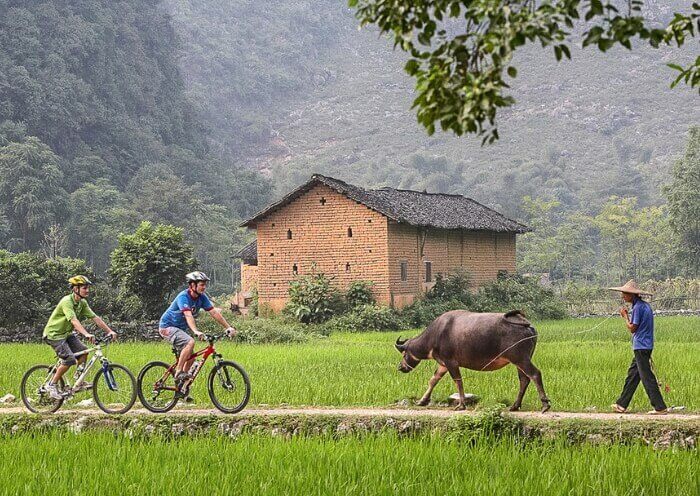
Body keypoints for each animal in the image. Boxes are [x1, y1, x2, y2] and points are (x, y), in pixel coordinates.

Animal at [394, 310, 552, 410]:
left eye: (404, 354)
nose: (401, 367)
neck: (436, 334)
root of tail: (528, 326)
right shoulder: (443, 364)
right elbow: (433, 380)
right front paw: (422, 401)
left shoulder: (451, 362)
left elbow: (458, 381)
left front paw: (461, 405)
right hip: (520, 361)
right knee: (524, 379)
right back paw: (514, 406)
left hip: (520, 359)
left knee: (535, 374)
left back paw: (545, 405)